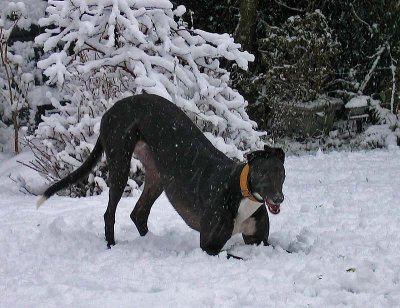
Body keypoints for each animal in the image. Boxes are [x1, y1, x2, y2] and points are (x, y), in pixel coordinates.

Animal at [38, 93, 284, 255]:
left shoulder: (258, 240)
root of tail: (110, 111)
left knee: (138, 213)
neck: (241, 191)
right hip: (120, 163)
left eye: (281, 174)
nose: (278, 199)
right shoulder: (209, 247)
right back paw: (112, 245)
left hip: (158, 176)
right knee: (110, 213)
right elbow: (234, 256)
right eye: (263, 173)